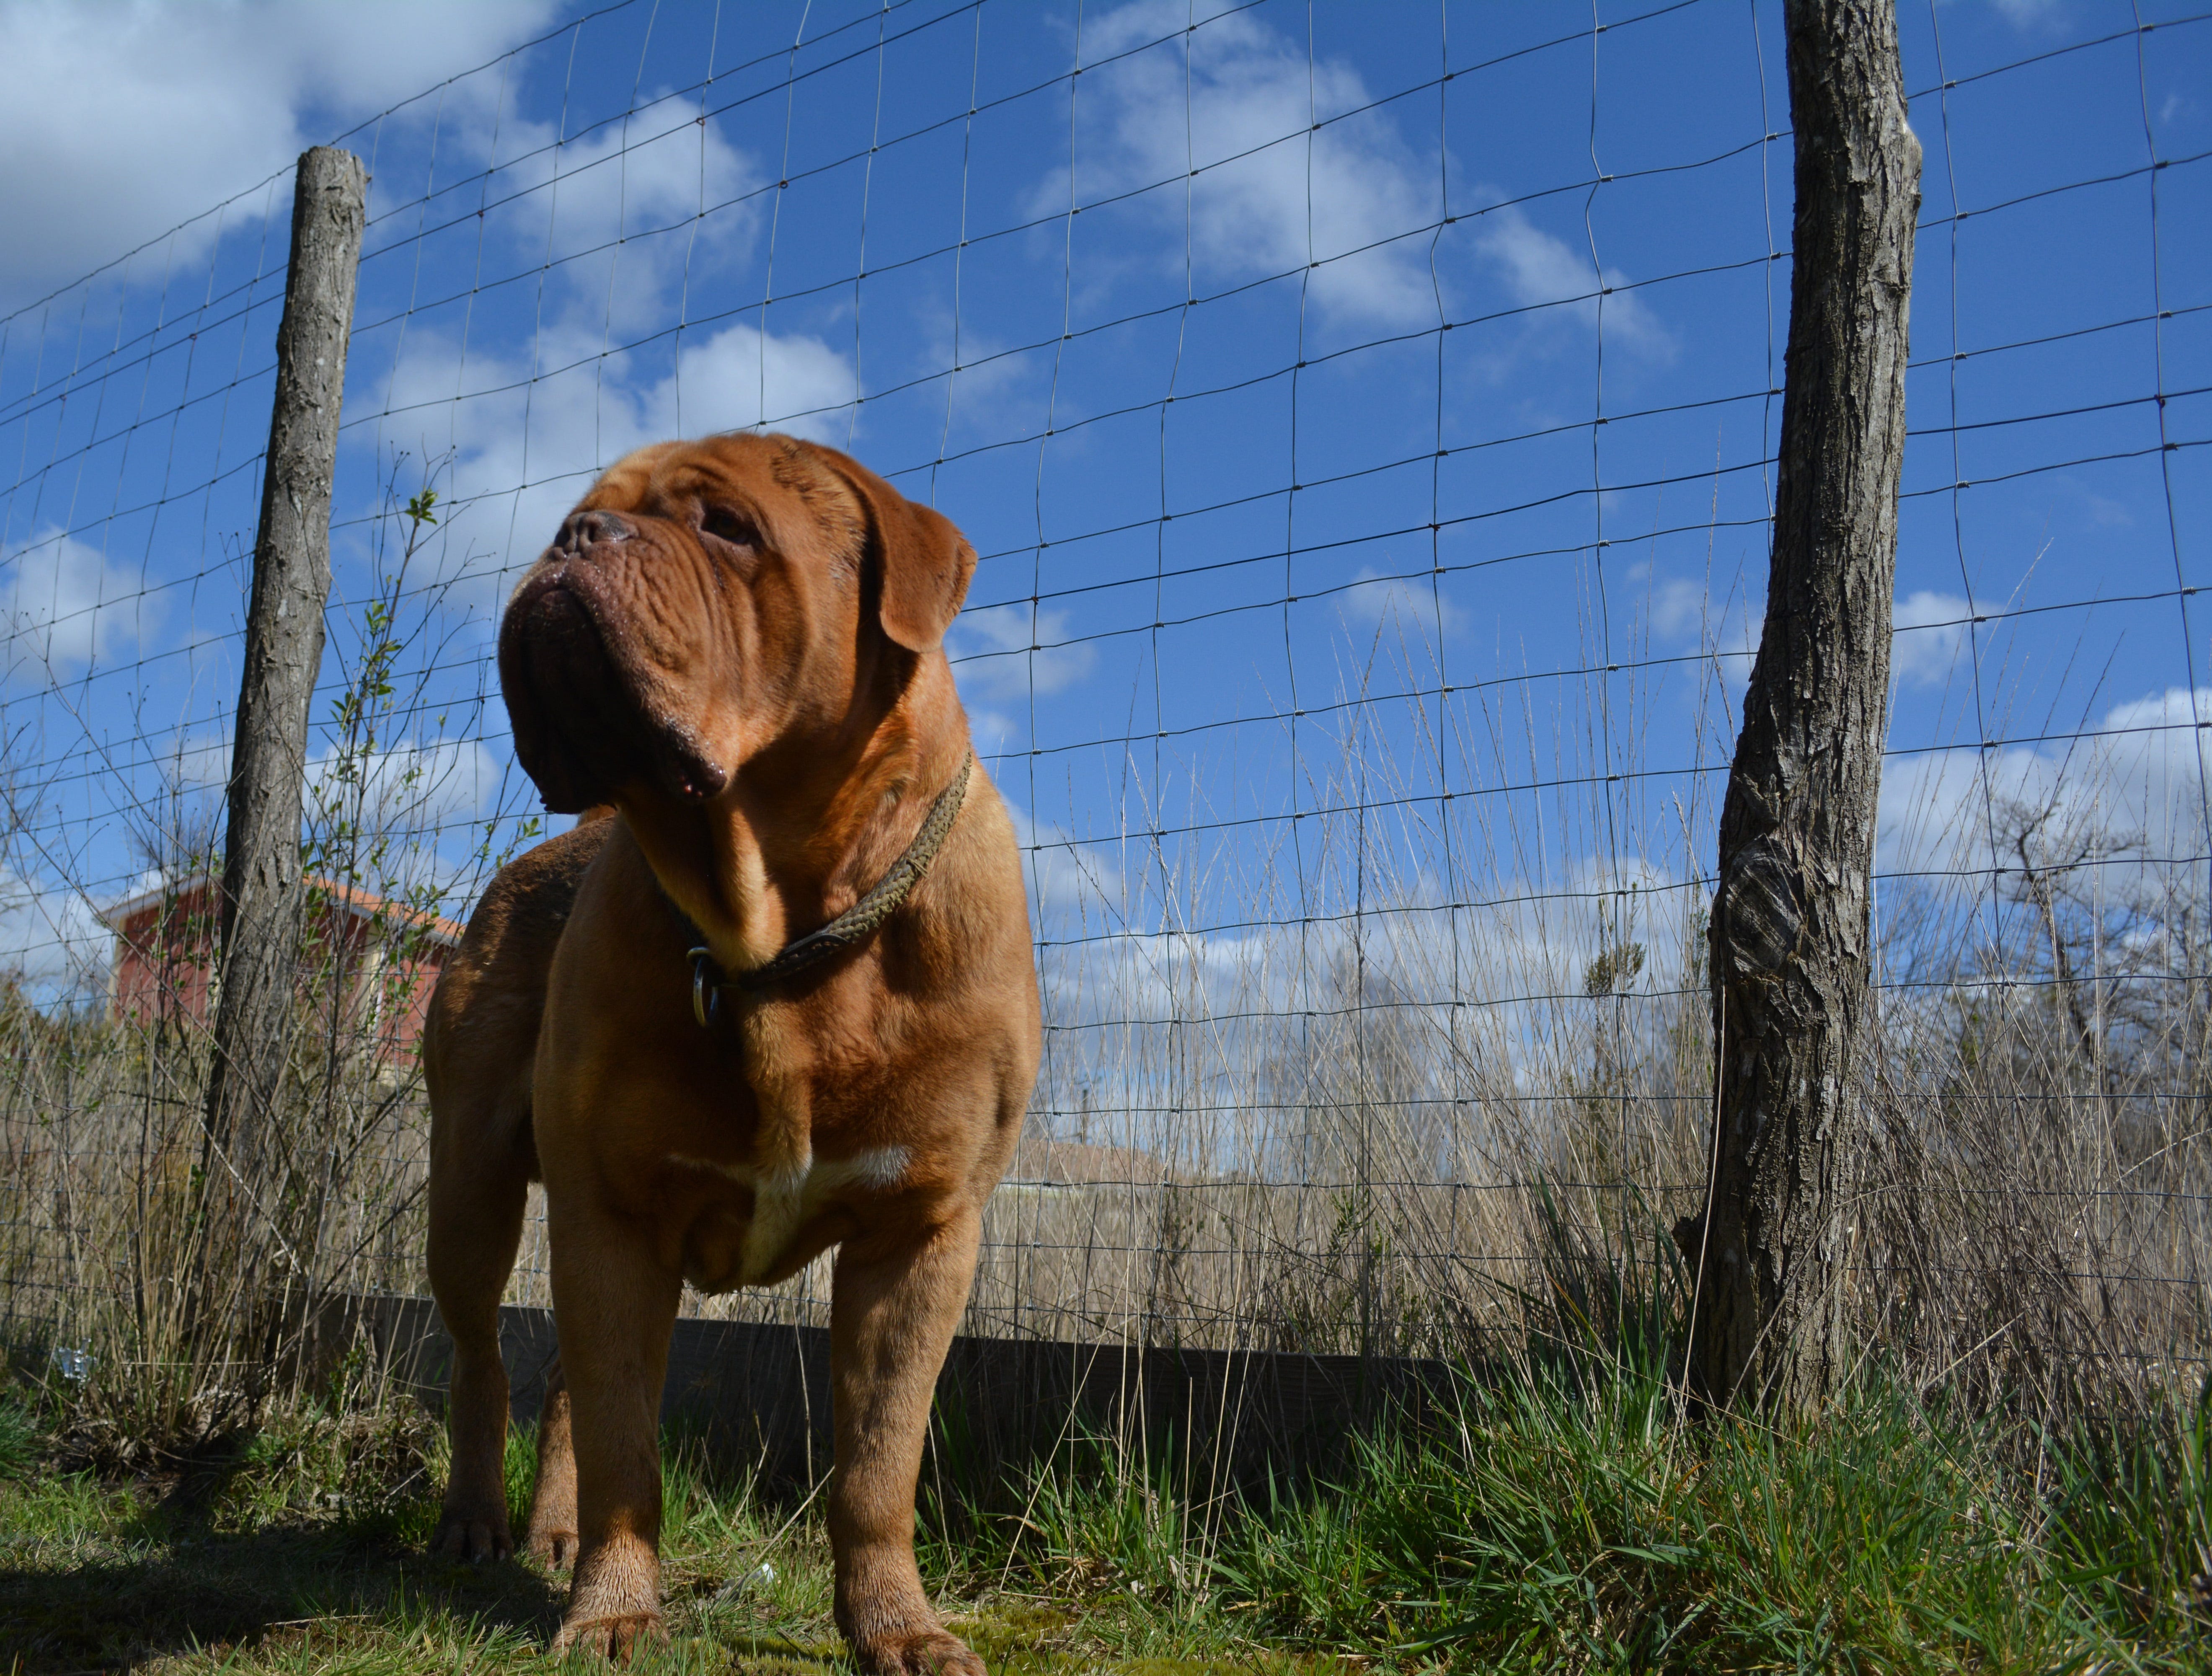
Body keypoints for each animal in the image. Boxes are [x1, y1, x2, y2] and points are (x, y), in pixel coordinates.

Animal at [424, 429, 1044, 1671]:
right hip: (470, 1192)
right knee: (483, 1361)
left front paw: (898, 1627)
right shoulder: (614, 1216)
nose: (576, 537)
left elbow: (878, 1466)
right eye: (573, 517)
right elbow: (626, 1449)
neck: (784, 937)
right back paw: (477, 1522)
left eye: (725, 526)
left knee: (561, 1387)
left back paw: (552, 1533)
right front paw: (613, 1614)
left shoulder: (921, 1236)